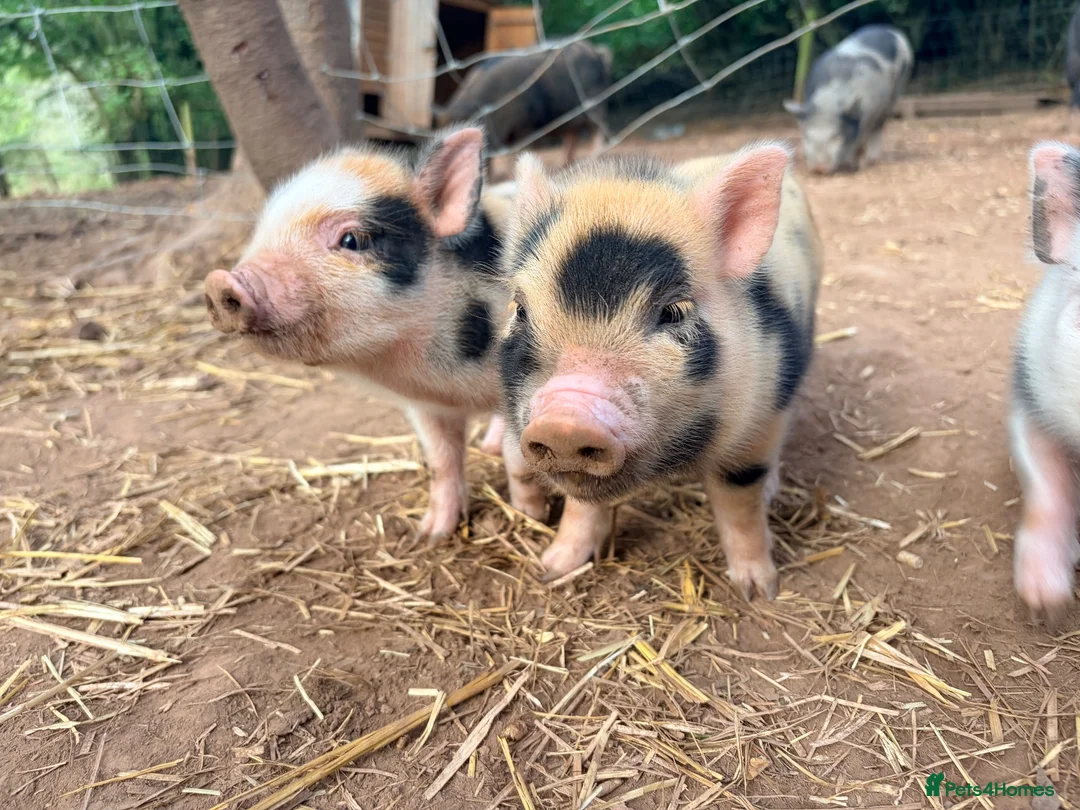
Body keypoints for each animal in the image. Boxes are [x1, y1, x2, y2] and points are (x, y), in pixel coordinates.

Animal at [203, 126, 547, 544]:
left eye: (353, 240)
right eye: (262, 232)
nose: (219, 282)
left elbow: (519, 461)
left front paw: (531, 516)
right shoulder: (427, 406)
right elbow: (441, 461)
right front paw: (430, 534)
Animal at [497, 144, 822, 597]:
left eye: (674, 311)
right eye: (521, 310)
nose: (565, 423)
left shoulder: (762, 409)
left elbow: (740, 501)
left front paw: (758, 591)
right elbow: (581, 506)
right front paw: (553, 570)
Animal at [783, 25, 913, 174]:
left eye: (836, 136)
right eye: (807, 136)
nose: (819, 168)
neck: (828, 101)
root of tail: (891, 30)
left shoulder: (868, 113)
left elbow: (860, 138)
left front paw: (854, 166)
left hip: (898, 87)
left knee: (879, 125)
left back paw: (872, 160)